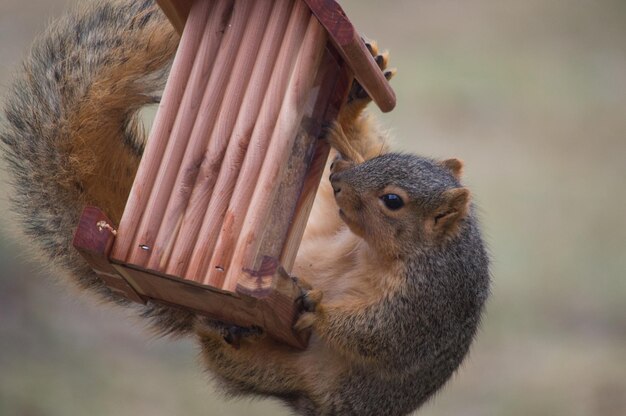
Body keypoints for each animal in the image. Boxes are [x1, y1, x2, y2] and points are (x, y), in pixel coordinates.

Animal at [1, 0, 488, 416]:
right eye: (380, 165)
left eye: (392, 201)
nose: (337, 177)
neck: (375, 249)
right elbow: (364, 141)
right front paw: (355, 97)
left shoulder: (427, 302)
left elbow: (380, 334)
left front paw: (318, 308)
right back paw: (223, 330)